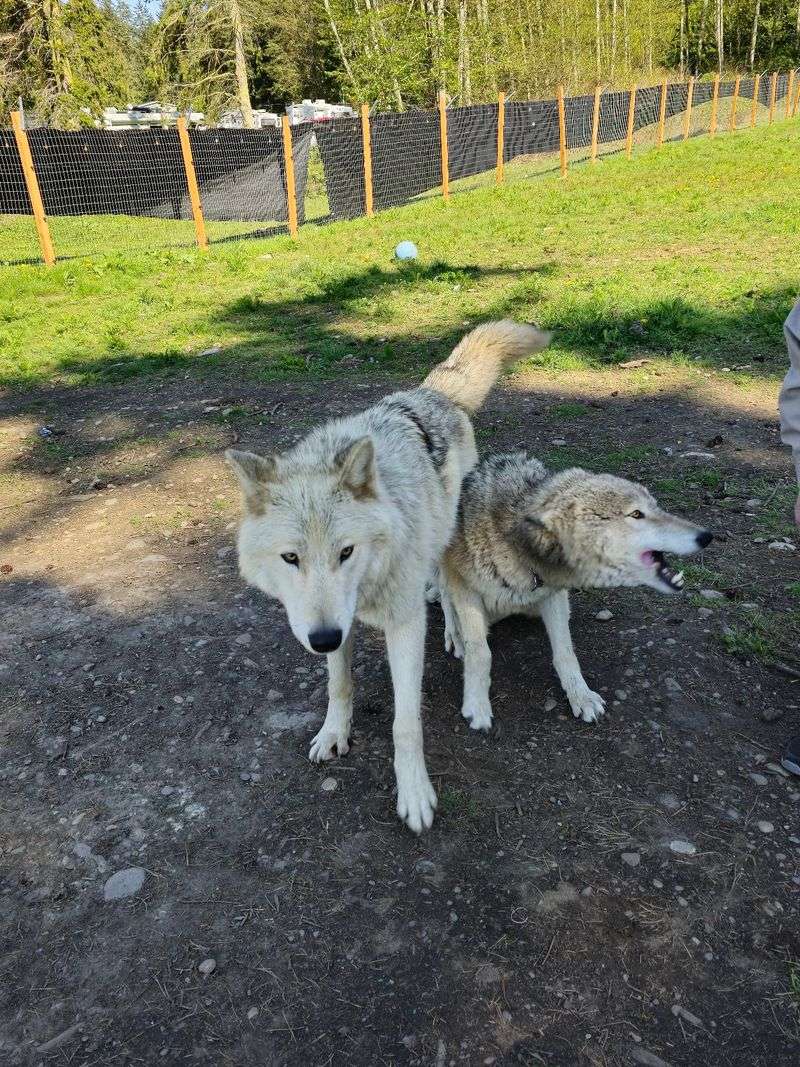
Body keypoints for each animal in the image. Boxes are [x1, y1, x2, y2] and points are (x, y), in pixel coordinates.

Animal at [225, 323, 551, 832]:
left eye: (346, 552)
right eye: (290, 558)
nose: (322, 639)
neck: (367, 586)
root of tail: (427, 394)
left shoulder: (403, 627)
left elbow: (405, 723)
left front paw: (414, 794)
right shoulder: (336, 626)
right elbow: (339, 684)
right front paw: (333, 734)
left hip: (445, 534)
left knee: (448, 588)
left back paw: (454, 632)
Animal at [437, 452, 713, 731]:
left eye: (656, 508)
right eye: (636, 514)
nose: (707, 536)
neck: (520, 554)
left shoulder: (552, 594)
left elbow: (565, 653)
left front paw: (581, 696)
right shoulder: (464, 586)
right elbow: (479, 651)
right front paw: (477, 705)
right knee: (444, 600)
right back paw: (455, 635)